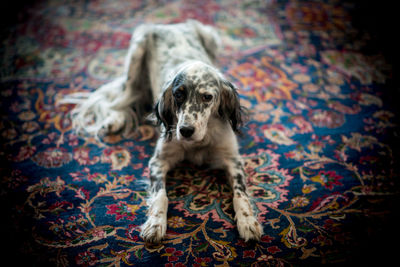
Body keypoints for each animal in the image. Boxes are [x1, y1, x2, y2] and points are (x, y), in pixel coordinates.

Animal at [66, 20, 262, 243]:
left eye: (207, 97)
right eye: (178, 94)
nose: (185, 130)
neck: (200, 140)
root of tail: (172, 24)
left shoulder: (233, 160)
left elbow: (240, 194)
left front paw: (248, 222)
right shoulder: (158, 162)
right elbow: (161, 195)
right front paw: (155, 224)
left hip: (211, 38)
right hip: (137, 52)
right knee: (123, 97)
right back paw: (114, 120)